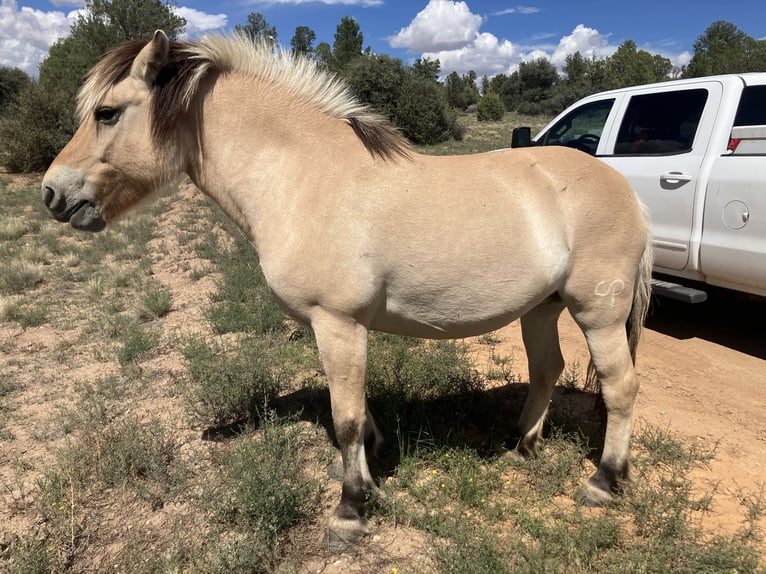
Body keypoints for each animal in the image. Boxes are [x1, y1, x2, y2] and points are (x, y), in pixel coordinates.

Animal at [42, 30, 653, 549]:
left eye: (106, 113)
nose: (51, 193)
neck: (301, 176)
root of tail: (625, 187)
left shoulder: (338, 322)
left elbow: (347, 418)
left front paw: (350, 511)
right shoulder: (336, 327)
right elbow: (357, 411)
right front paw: (366, 469)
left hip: (596, 313)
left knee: (621, 388)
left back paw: (603, 482)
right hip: (541, 310)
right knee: (547, 371)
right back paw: (522, 446)